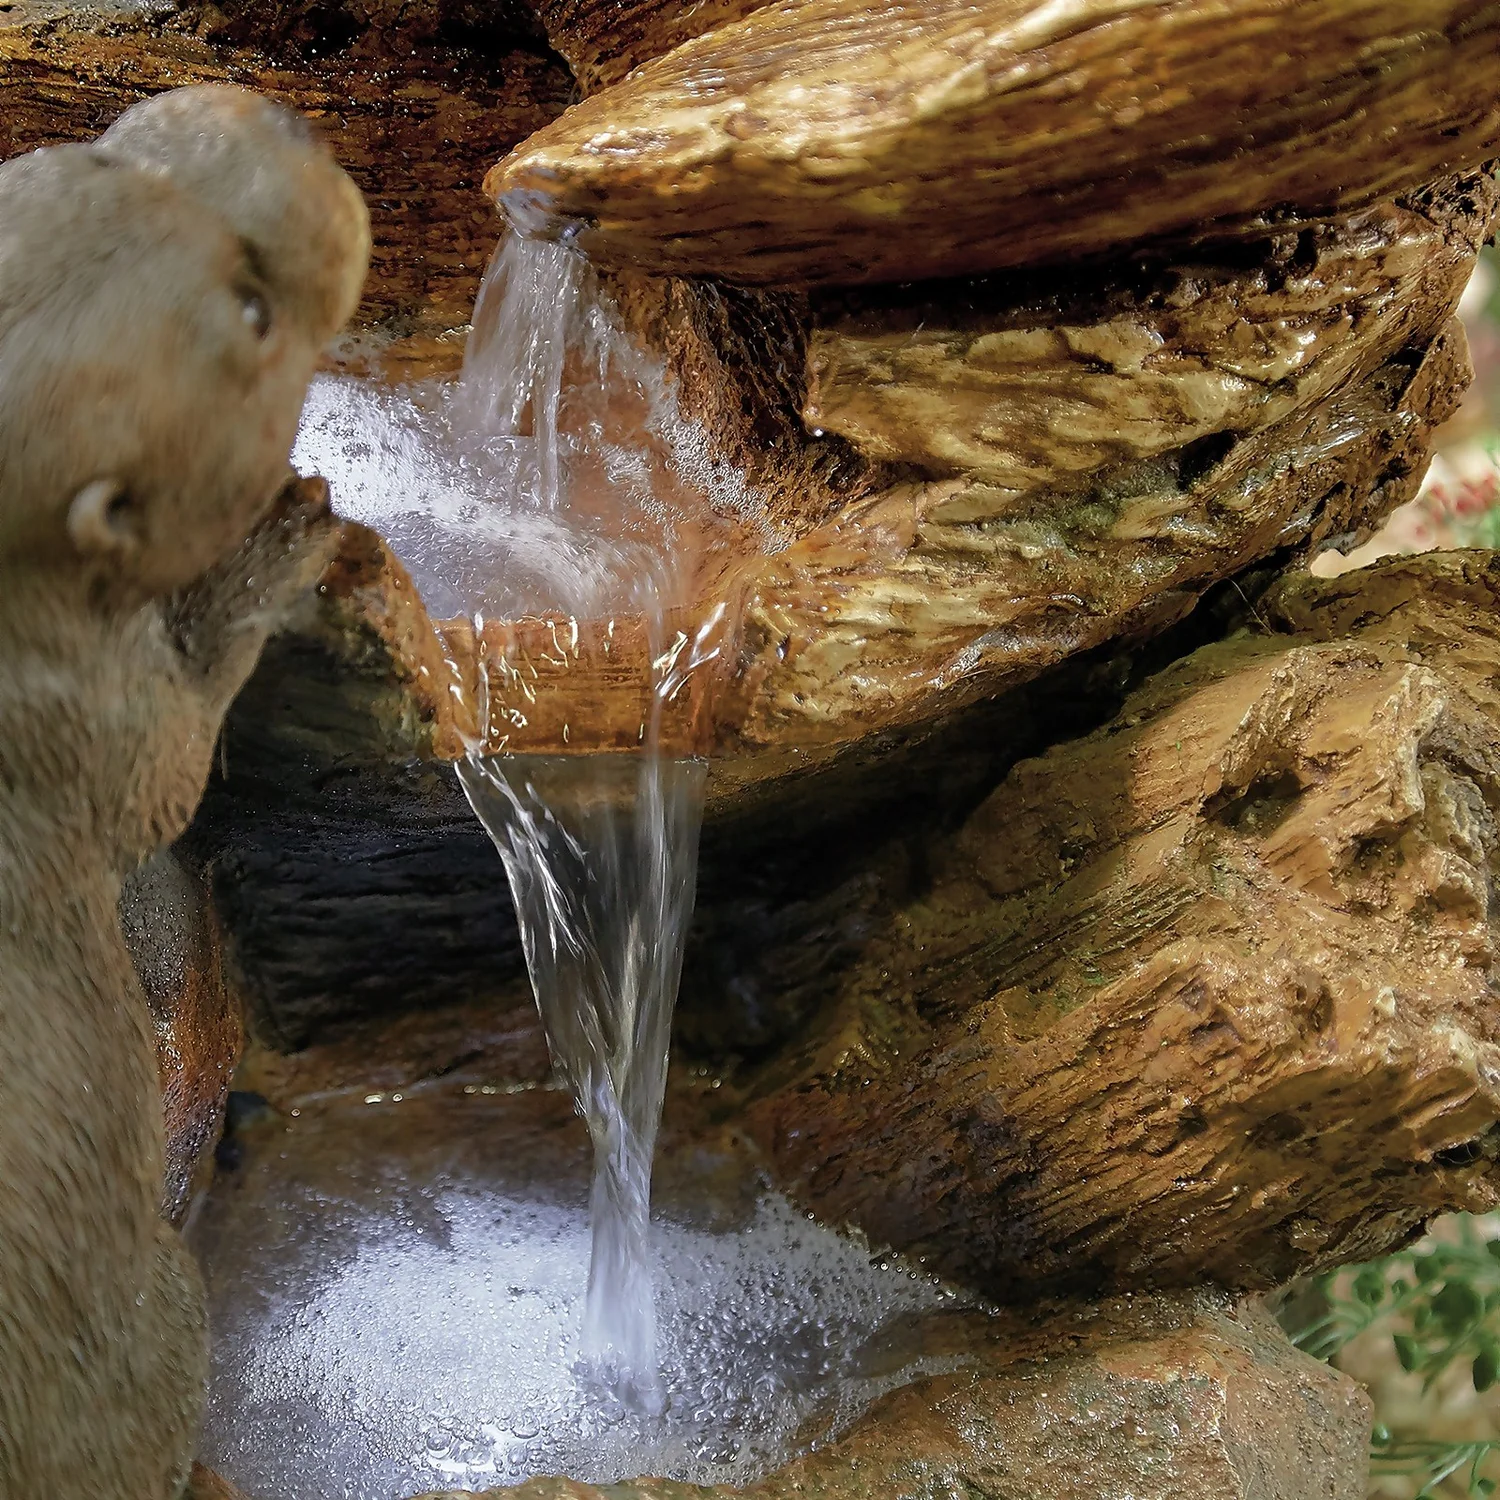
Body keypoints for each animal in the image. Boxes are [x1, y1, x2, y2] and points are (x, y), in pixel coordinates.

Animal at [0, 90, 368, 1498]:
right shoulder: (73, 711)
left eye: (82, 150)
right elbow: (165, 771)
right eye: (250, 313)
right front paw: (277, 541)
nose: (261, 110)